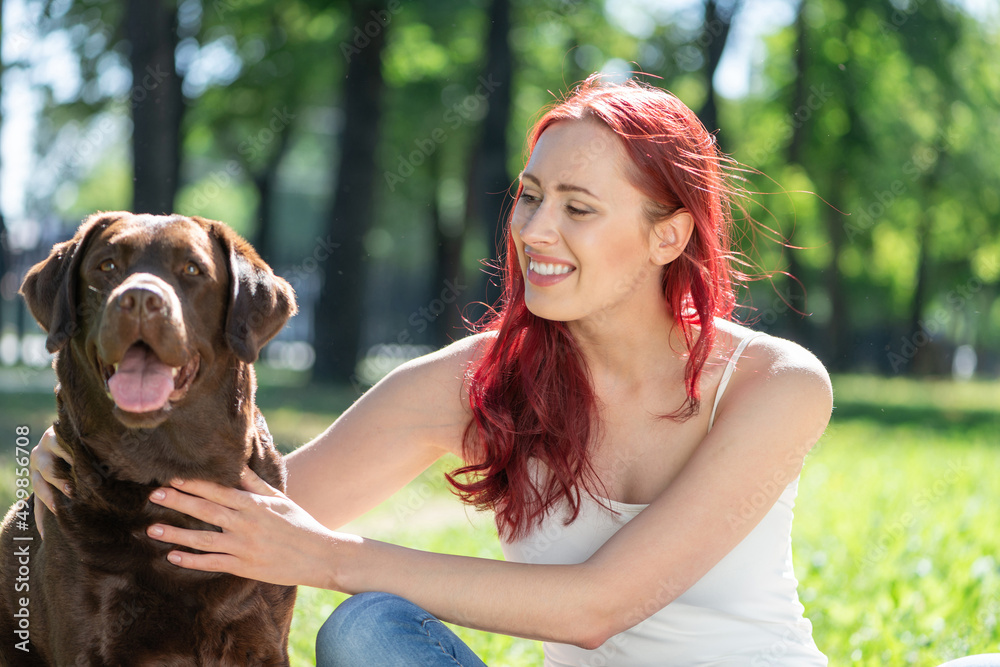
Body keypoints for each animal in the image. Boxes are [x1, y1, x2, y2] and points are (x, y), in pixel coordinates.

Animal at [0, 214, 296, 667]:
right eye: (106, 266)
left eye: (192, 269)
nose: (139, 298)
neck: (165, 468)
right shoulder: (89, 640)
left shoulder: (263, 641)